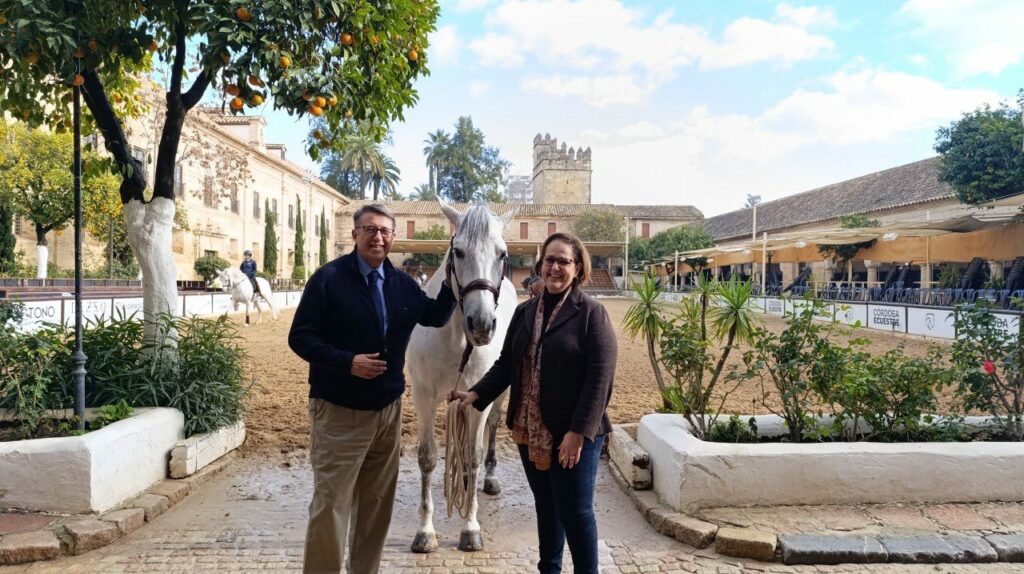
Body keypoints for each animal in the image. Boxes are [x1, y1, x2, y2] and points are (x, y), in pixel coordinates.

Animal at [407, 201, 520, 552]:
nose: (481, 325)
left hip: (497, 393)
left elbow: (473, 454)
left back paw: (489, 479)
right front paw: (425, 531)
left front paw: (470, 528)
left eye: (502, 253)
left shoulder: (478, 398)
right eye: (457, 251)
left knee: (491, 432)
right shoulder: (424, 395)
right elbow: (428, 457)